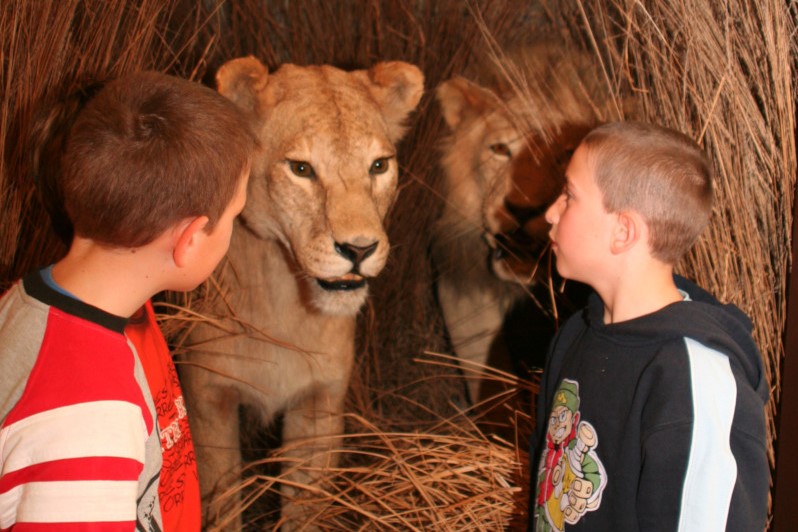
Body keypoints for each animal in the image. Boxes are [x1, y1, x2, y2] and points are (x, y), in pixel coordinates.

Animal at [180, 56, 424, 528]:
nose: (359, 249)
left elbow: (305, 508)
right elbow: (221, 503)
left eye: (378, 166)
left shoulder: (320, 403)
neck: (283, 306)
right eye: (302, 169)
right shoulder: (207, 398)